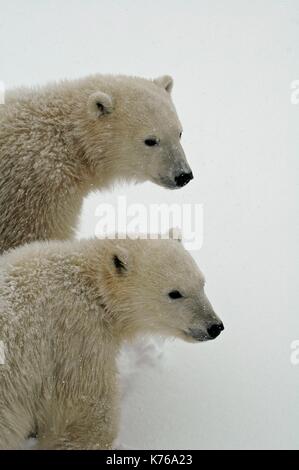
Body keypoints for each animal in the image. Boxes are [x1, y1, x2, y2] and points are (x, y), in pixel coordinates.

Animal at [0, 233, 223, 450]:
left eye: (202, 283)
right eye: (174, 293)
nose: (214, 326)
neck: (91, 284)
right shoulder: (77, 339)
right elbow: (87, 410)